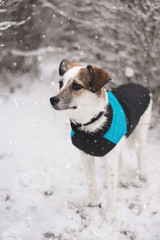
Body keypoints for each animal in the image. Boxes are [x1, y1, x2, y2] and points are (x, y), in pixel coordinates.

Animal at [49, 59, 152, 220]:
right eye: (60, 83)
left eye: (77, 86)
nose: (52, 100)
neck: (89, 124)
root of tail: (138, 85)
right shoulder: (86, 156)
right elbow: (91, 180)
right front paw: (92, 200)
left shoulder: (110, 159)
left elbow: (111, 190)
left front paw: (110, 214)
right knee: (120, 161)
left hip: (141, 131)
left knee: (140, 153)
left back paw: (141, 173)